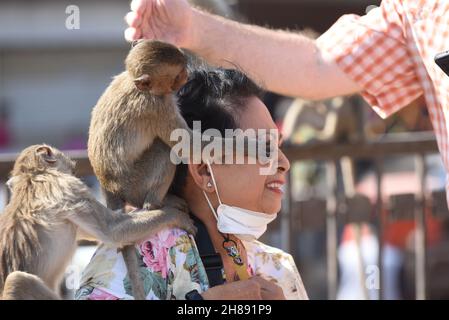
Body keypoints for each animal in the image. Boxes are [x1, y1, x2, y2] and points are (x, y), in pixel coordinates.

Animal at [0, 145, 191, 300]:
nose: (74, 171)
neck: (31, 175)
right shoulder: (67, 186)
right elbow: (111, 230)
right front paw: (175, 215)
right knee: (17, 281)